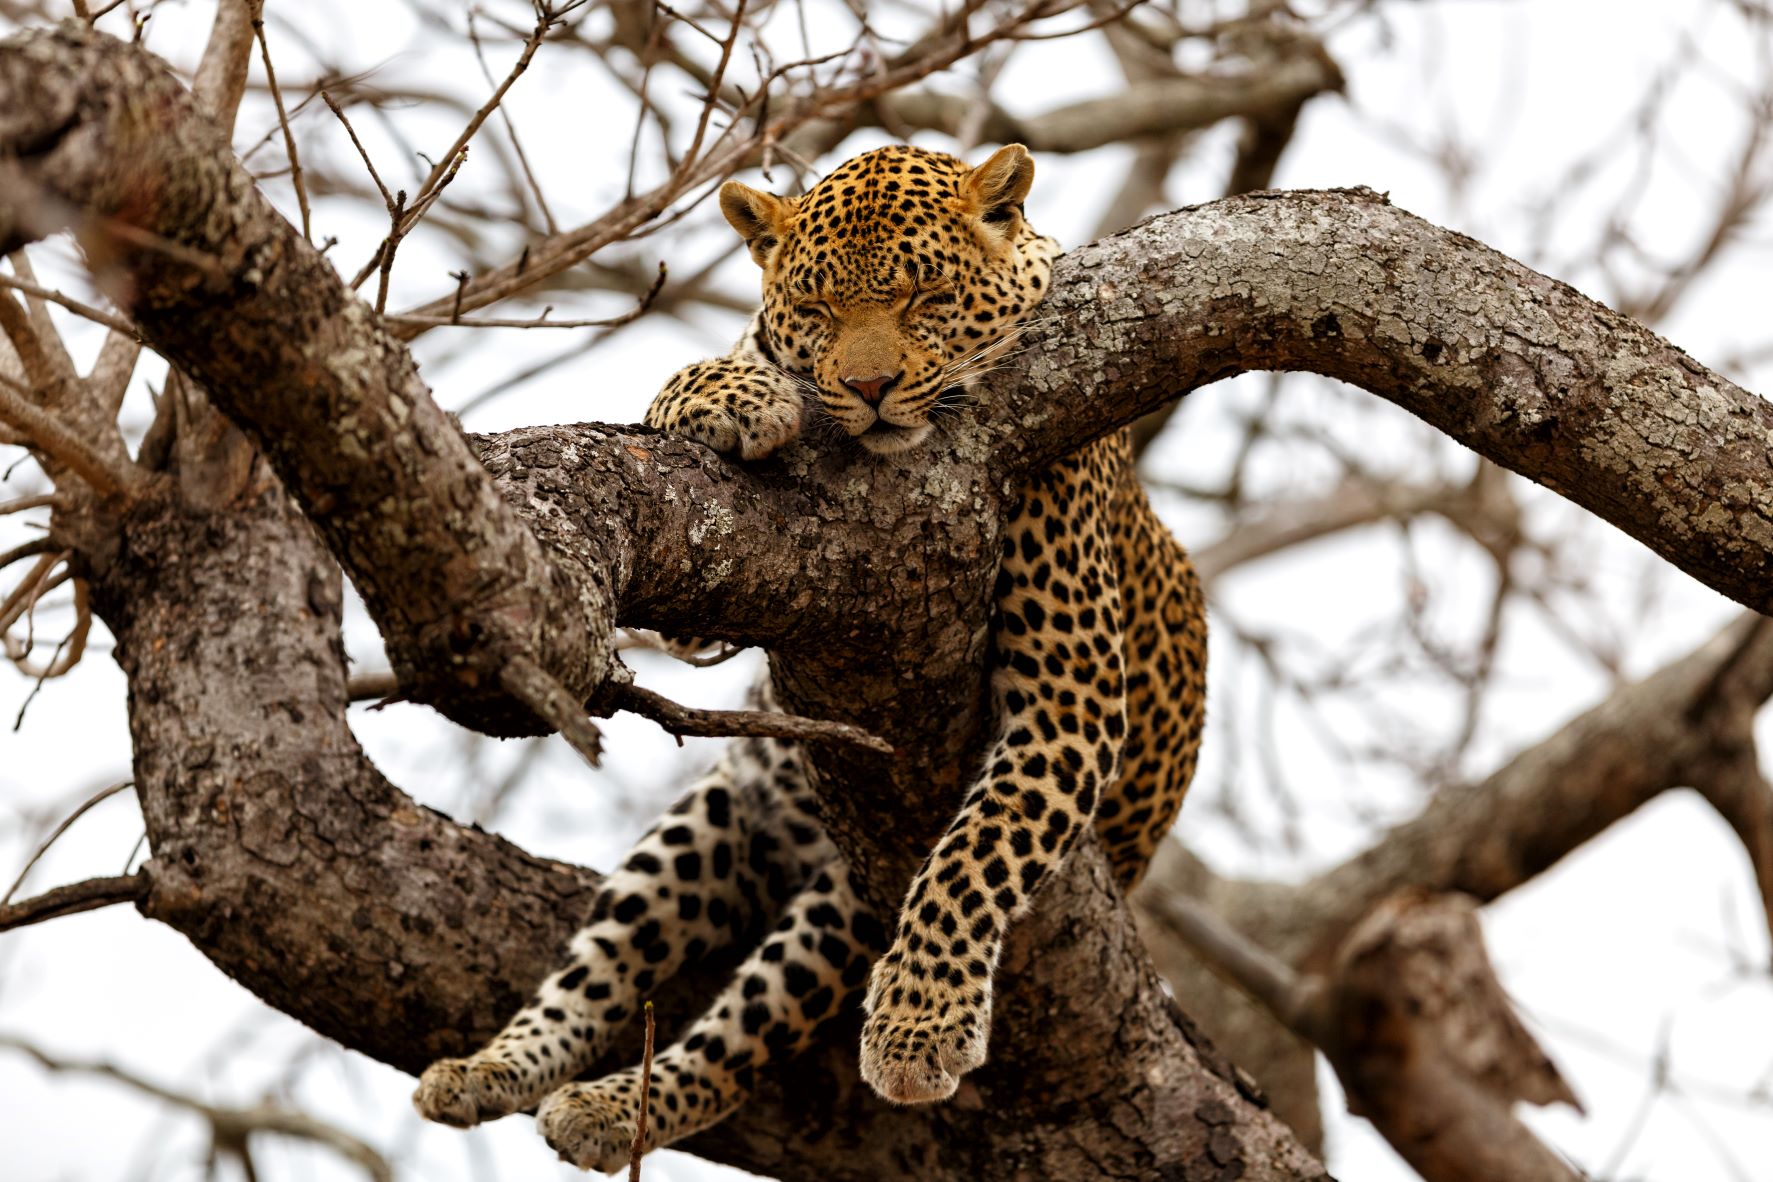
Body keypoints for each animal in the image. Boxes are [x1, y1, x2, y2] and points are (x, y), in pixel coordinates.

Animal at [409, 143, 1212, 1169]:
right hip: (724, 810)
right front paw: (734, 390)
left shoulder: (1068, 703)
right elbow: (698, 388)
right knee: (602, 967)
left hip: (842, 897)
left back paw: (613, 1105)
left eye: (924, 298)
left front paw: (919, 1022)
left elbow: (971, 862)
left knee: (740, 1034)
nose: (868, 390)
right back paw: (501, 1069)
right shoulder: (704, 617)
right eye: (820, 310)